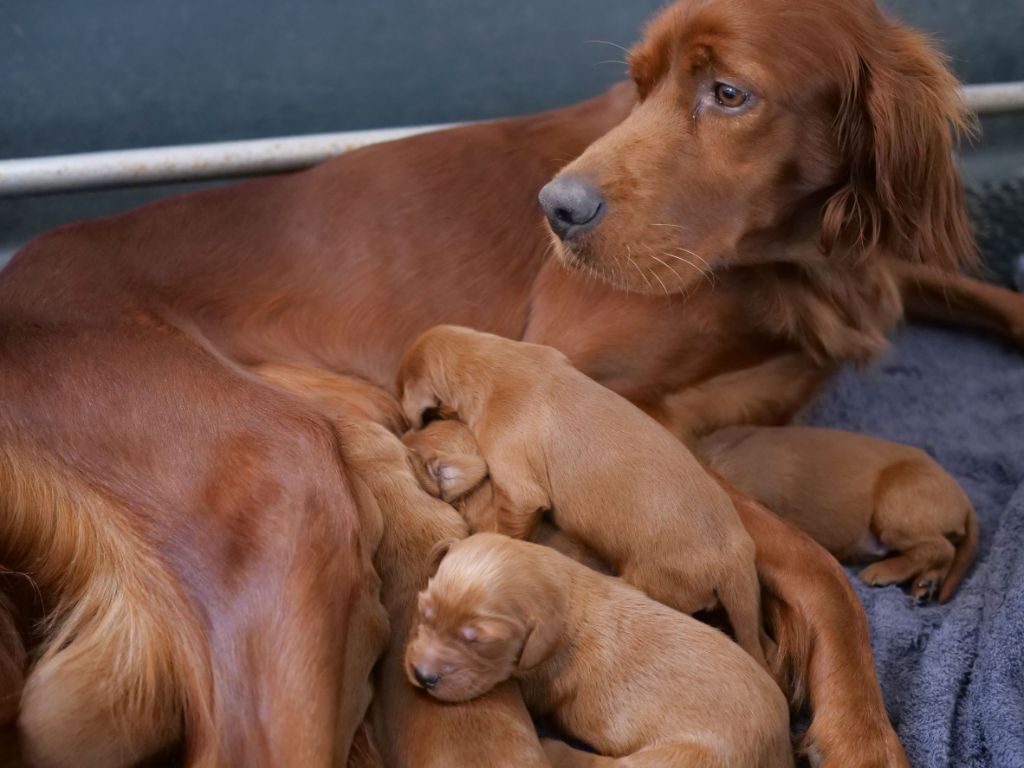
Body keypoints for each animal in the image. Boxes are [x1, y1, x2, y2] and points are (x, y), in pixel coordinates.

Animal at [405, 536, 790, 768]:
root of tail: (781, 747)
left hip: (683, 757)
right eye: (424, 612)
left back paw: (555, 749)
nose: (423, 676)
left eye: (480, 642)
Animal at [700, 423, 978, 606]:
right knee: (947, 553)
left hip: (896, 509)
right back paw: (927, 584)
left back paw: (885, 571)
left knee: (940, 548)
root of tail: (964, 500)